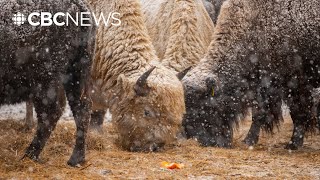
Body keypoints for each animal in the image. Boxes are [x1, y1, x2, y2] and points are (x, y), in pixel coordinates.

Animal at [0, 0, 95, 166]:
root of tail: (78, 5)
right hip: (76, 74)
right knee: (81, 107)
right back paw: (75, 159)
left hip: (45, 81)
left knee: (51, 111)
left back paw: (29, 155)